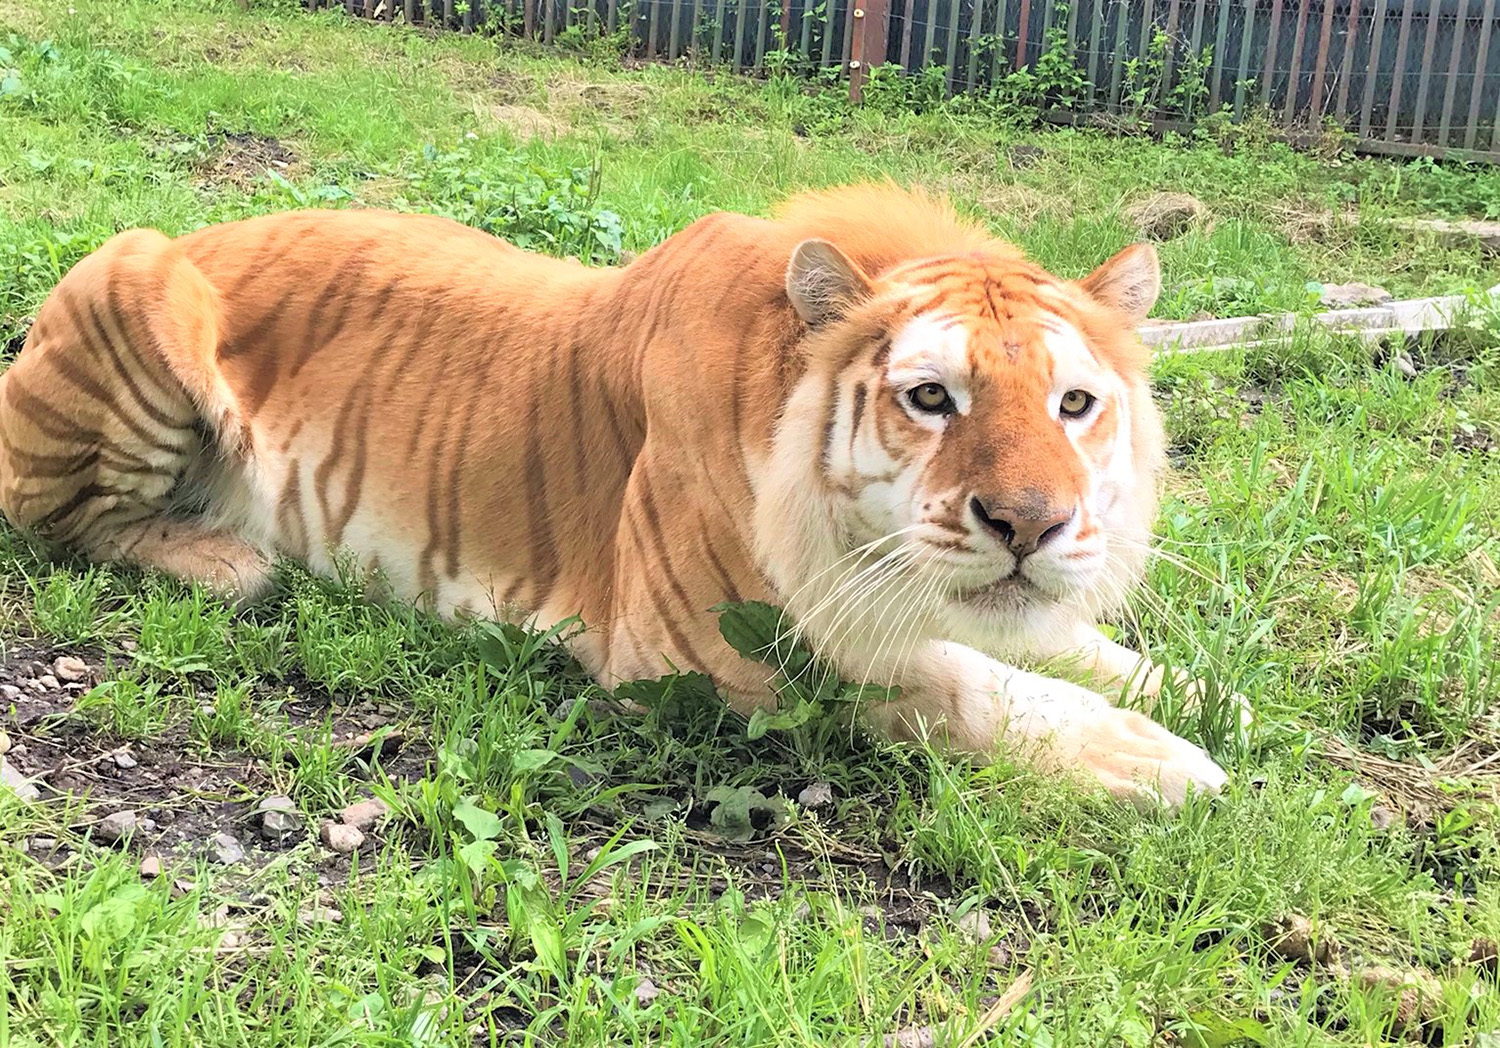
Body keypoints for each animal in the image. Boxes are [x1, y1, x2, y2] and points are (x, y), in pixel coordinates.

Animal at [0, 182, 1236, 809]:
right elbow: (962, 686)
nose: (1033, 523)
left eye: (1075, 405)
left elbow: (1055, 644)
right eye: (932, 398)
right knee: (57, 515)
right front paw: (1158, 760)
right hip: (135, 275)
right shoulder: (703, 646)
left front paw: (1199, 691)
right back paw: (227, 559)